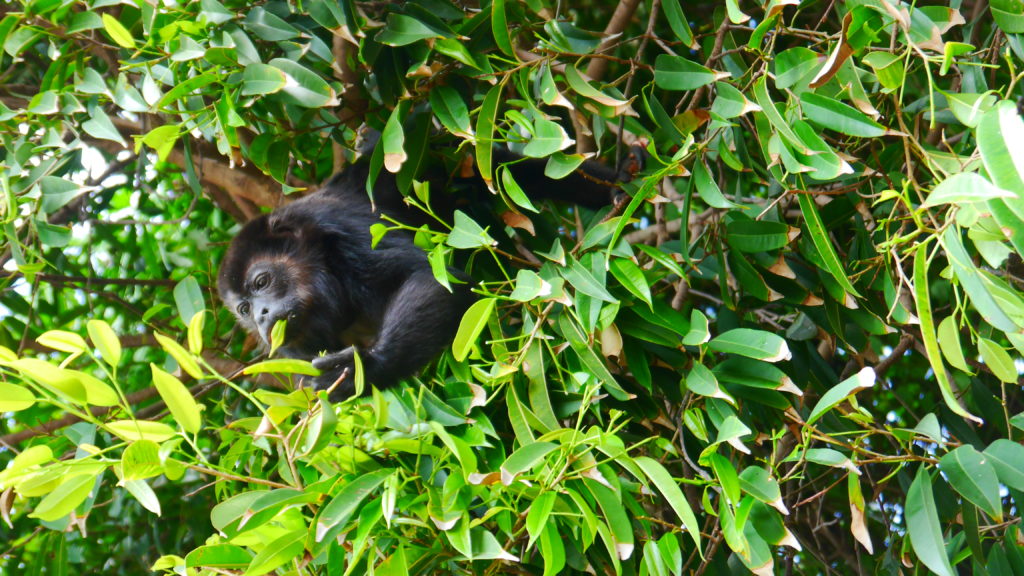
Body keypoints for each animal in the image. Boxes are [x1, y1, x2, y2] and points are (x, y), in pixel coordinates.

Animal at [217, 145, 630, 401]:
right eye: (243, 310)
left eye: (261, 281)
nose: (261, 317)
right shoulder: (290, 348)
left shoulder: (344, 233)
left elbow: (433, 280)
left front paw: (367, 367)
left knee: (510, 169)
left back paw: (620, 186)